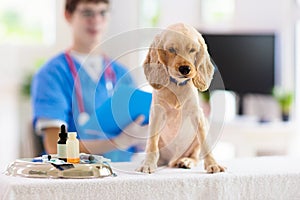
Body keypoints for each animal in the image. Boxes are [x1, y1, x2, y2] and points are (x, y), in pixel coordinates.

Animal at [137, 23, 224, 173]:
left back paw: (186, 161)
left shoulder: (197, 114)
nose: (185, 69)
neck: (177, 85)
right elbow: (152, 143)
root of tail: (173, 160)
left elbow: (205, 142)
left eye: (192, 50)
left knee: (195, 156)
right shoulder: (157, 113)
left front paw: (212, 164)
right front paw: (148, 164)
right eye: (171, 49)